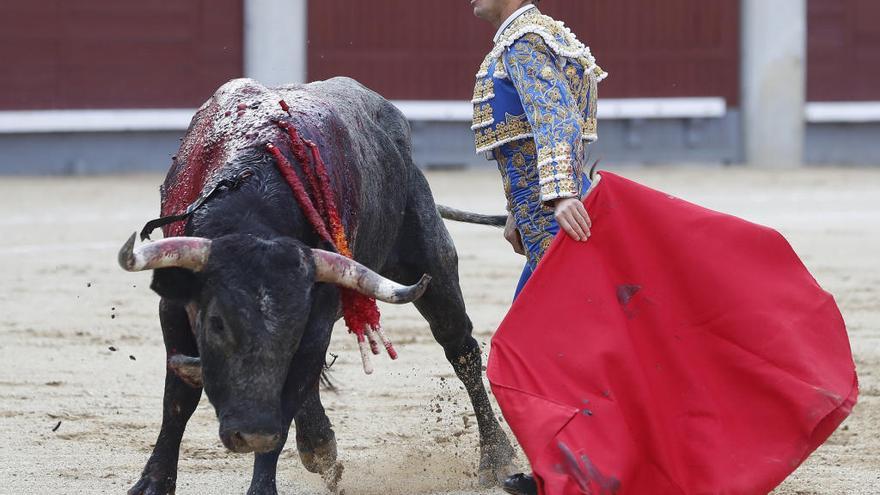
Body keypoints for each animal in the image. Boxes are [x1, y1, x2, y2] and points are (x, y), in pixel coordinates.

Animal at [117, 76, 516, 492]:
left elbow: (288, 393)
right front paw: (153, 482)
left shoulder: (317, 318)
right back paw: (319, 445)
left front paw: (265, 484)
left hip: (431, 263)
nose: (252, 432)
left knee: (461, 349)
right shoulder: (174, 308)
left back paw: (496, 457)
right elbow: (178, 398)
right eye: (217, 324)